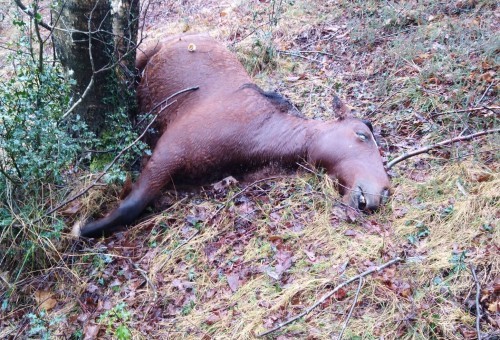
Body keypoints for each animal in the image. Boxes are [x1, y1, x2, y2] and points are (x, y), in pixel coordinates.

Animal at [78, 33, 390, 238]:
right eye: (362, 135)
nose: (380, 193)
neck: (254, 133)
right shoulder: (166, 153)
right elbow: (130, 205)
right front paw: (84, 228)